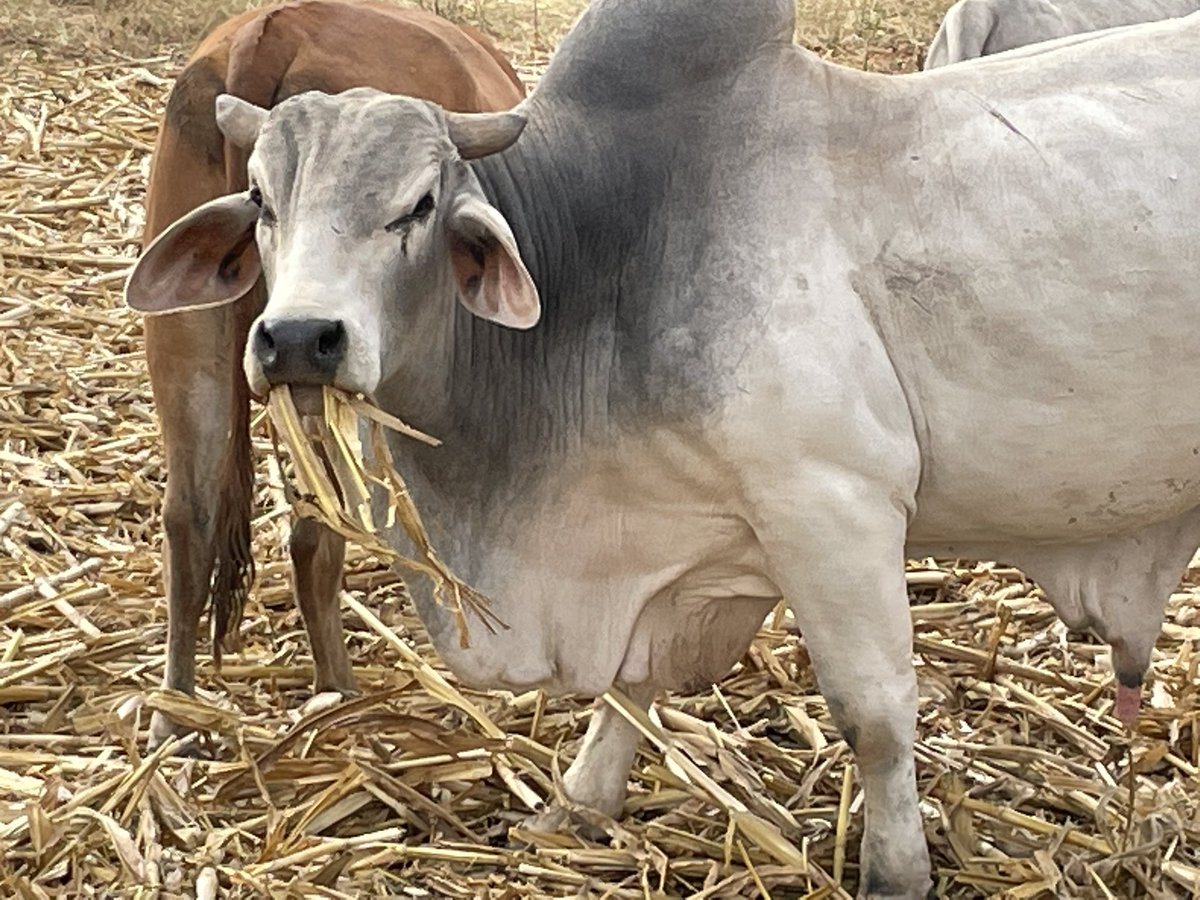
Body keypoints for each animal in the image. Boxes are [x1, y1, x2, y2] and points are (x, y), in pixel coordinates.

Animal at [136, 0, 523, 750]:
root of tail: (273, 29)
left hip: (190, 342)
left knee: (190, 519)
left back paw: (176, 713)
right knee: (317, 534)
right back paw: (339, 692)